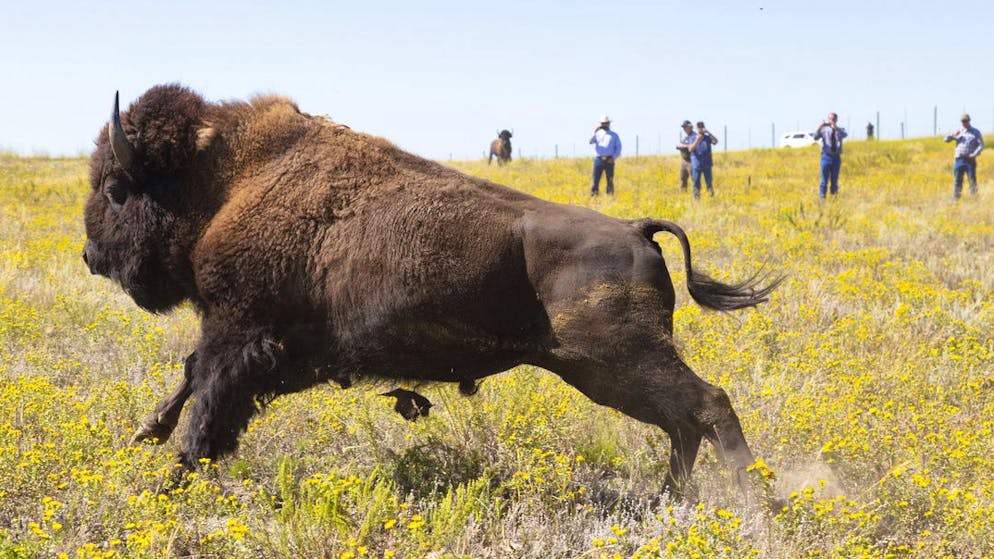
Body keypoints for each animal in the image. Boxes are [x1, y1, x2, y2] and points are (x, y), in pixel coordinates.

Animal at [83, 84, 780, 496]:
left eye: (117, 189)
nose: (91, 257)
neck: (227, 183)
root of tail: (636, 229)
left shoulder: (240, 332)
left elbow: (207, 398)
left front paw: (170, 480)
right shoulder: (273, 349)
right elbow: (191, 377)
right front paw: (144, 437)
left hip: (615, 363)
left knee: (707, 405)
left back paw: (757, 500)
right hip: (606, 370)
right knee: (683, 421)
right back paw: (671, 500)